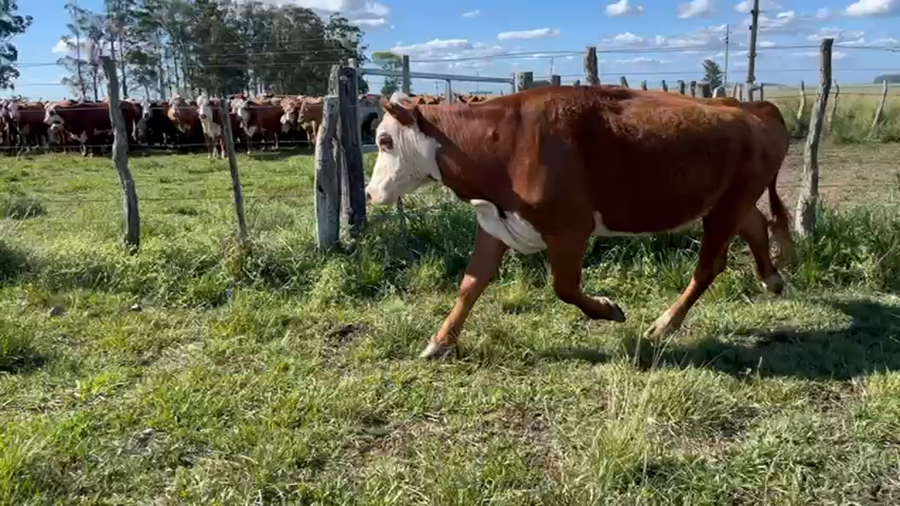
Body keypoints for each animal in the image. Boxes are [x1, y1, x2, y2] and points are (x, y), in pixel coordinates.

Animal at [365, 86, 794, 360]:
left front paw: (610, 310)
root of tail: (751, 107)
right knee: (756, 225)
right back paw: (771, 278)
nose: (370, 193)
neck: (503, 142)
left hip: (727, 205)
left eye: (385, 141)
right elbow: (472, 283)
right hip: (731, 201)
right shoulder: (494, 221)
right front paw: (440, 341)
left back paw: (664, 324)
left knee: (709, 266)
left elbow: (565, 287)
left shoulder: (569, 229)